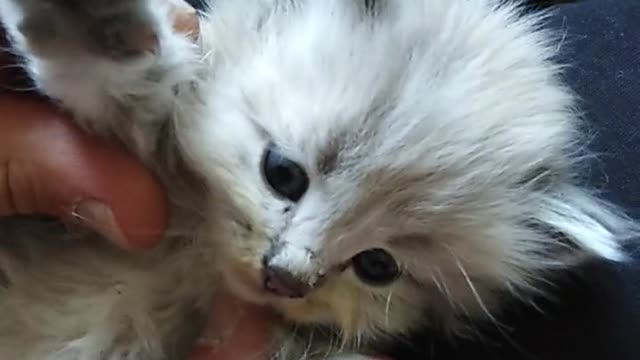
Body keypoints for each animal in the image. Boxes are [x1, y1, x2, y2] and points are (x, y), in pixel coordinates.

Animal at [0, 0, 636, 358]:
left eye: (377, 266)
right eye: (283, 175)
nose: (284, 277)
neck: (194, 258)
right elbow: (122, 75)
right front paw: (96, 17)